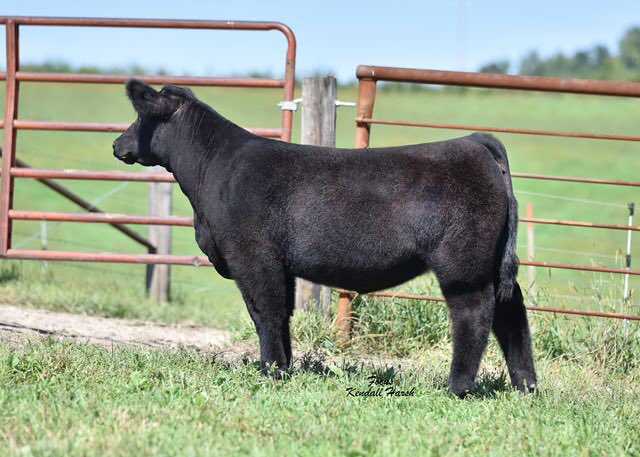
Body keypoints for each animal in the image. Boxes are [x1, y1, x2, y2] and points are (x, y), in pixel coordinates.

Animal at [113, 79, 536, 397]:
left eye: (140, 116)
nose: (117, 144)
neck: (216, 169)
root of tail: (474, 143)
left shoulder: (252, 255)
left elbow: (264, 312)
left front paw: (270, 372)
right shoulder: (278, 263)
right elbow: (282, 313)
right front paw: (284, 367)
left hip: (462, 262)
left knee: (474, 312)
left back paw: (458, 386)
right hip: (491, 261)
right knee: (511, 308)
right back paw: (526, 384)